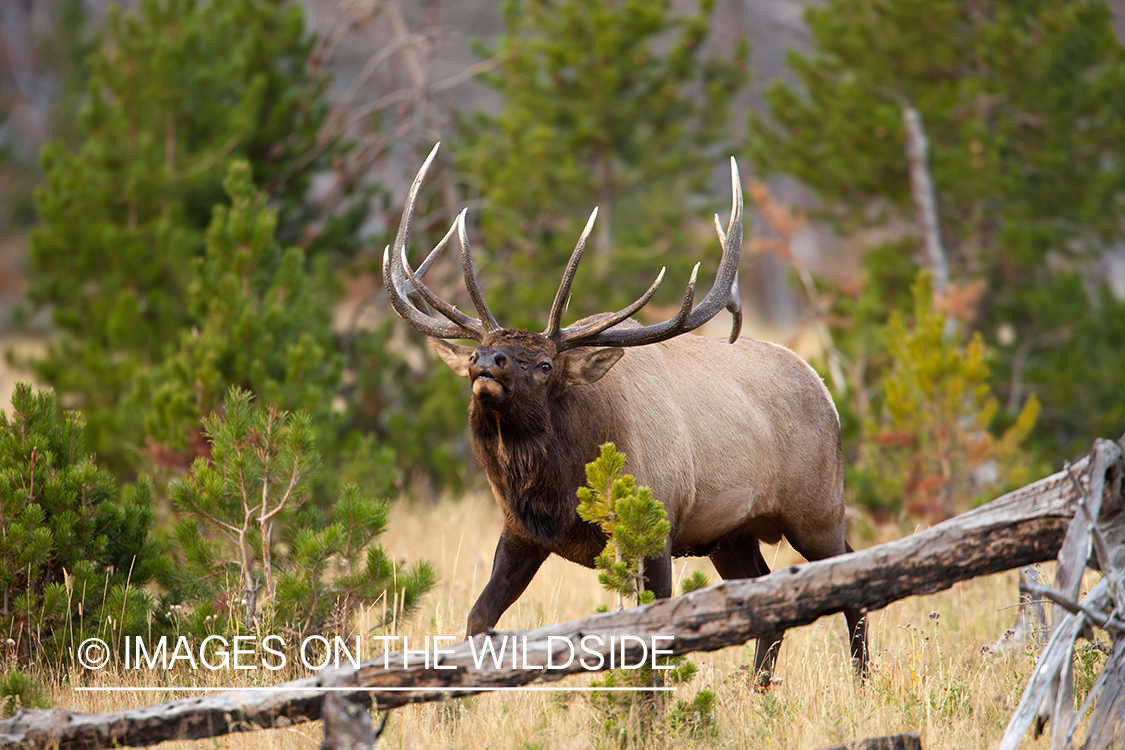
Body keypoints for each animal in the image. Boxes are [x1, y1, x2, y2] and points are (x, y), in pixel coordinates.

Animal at [382, 145, 864, 688]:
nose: (486, 361)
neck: (560, 489)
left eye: (545, 364)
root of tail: (827, 393)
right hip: (730, 535)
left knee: (852, 576)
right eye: (479, 350)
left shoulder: (655, 527)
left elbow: (650, 639)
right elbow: (479, 619)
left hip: (817, 509)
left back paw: (863, 681)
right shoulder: (521, 532)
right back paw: (758, 691)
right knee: (763, 594)